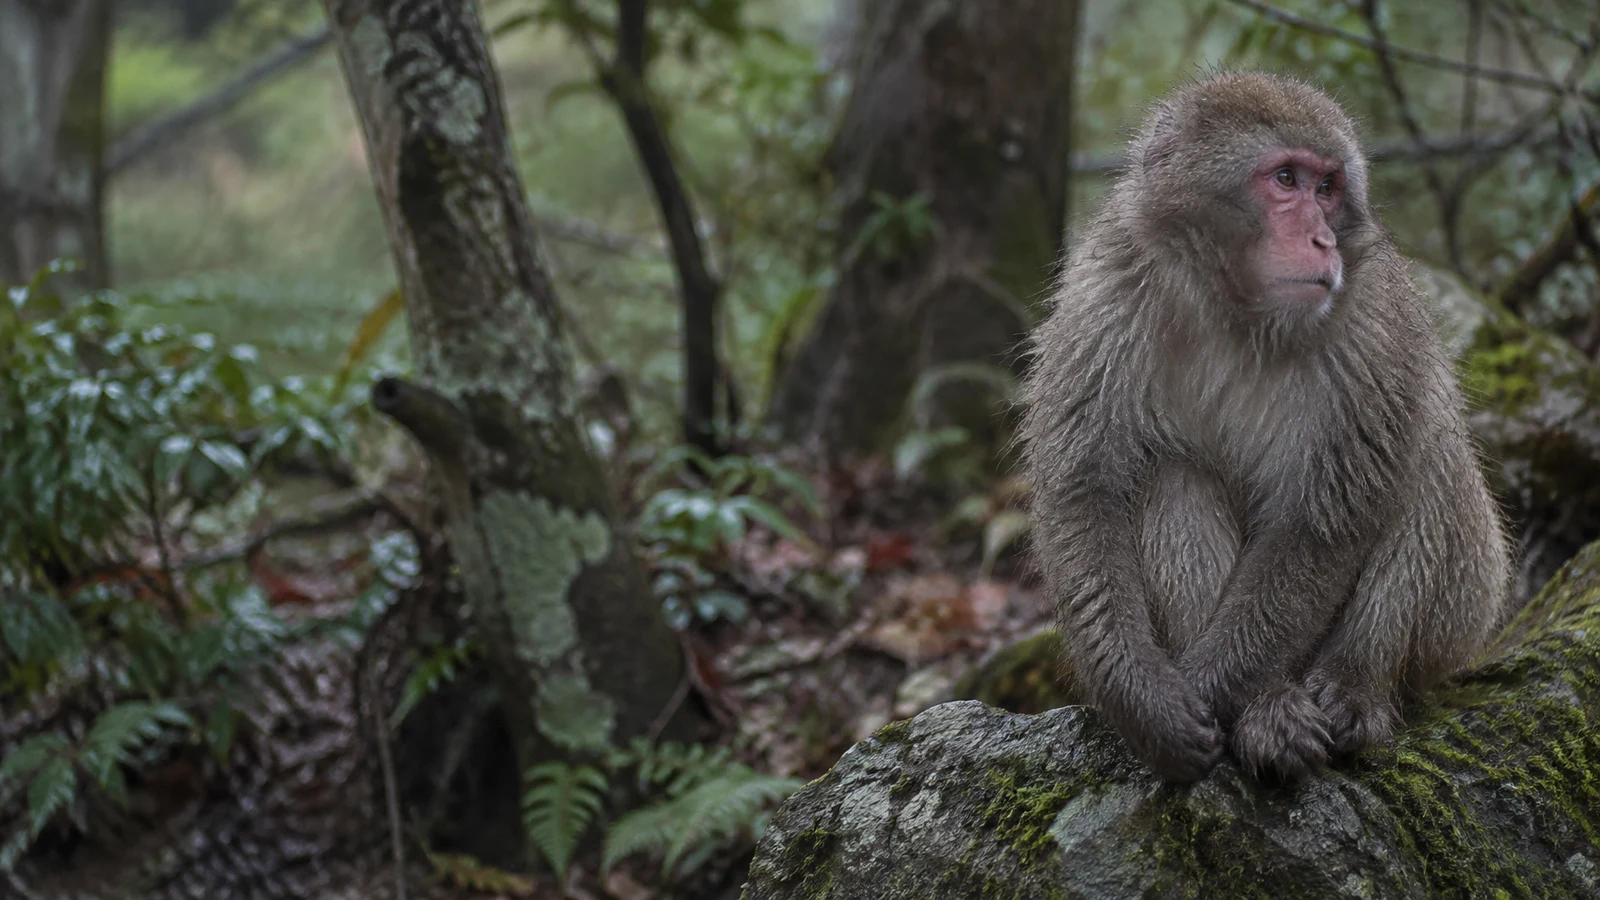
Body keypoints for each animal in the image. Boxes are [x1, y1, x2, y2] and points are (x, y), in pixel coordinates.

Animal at [1019, 71, 1512, 784]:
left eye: (1327, 188)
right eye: (1285, 179)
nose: (1323, 241)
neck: (1238, 311)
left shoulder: (1373, 326)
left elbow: (1323, 522)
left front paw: (1215, 688)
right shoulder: (1104, 297)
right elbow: (1087, 494)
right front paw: (1144, 704)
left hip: (1468, 610)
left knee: (1428, 454)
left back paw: (1351, 687)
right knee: (1173, 475)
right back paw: (1270, 706)